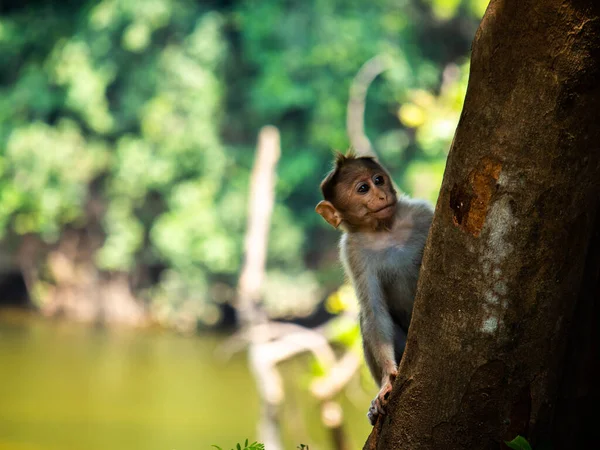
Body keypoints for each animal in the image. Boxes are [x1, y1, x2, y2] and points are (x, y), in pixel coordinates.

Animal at [316, 152, 434, 426]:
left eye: (378, 179)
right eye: (363, 188)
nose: (381, 195)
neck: (384, 229)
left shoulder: (421, 213)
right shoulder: (352, 251)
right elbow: (373, 312)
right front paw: (387, 379)